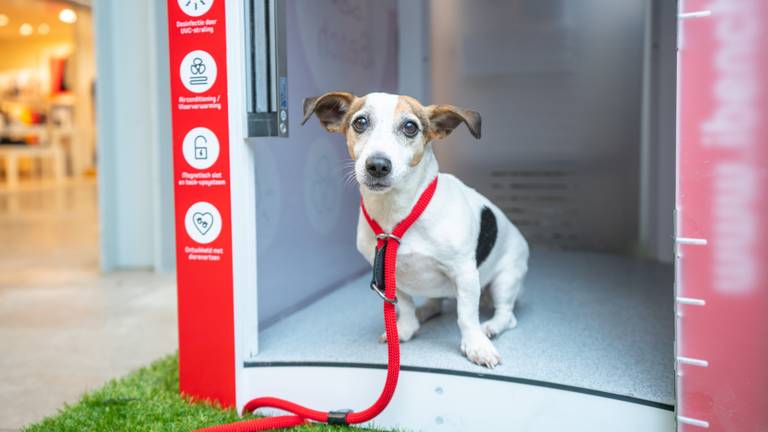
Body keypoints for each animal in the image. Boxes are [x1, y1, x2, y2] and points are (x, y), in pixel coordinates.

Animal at [304, 91, 532, 368]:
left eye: (410, 127)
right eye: (360, 122)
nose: (377, 165)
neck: (399, 214)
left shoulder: (465, 274)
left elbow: (467, 316)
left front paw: (476, 345)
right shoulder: (388, 274)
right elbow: (405, 304)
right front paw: (405, 328)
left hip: (505, 279)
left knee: (506, 315)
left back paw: (490, 327)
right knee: (436, 303)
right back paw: (425, 312)